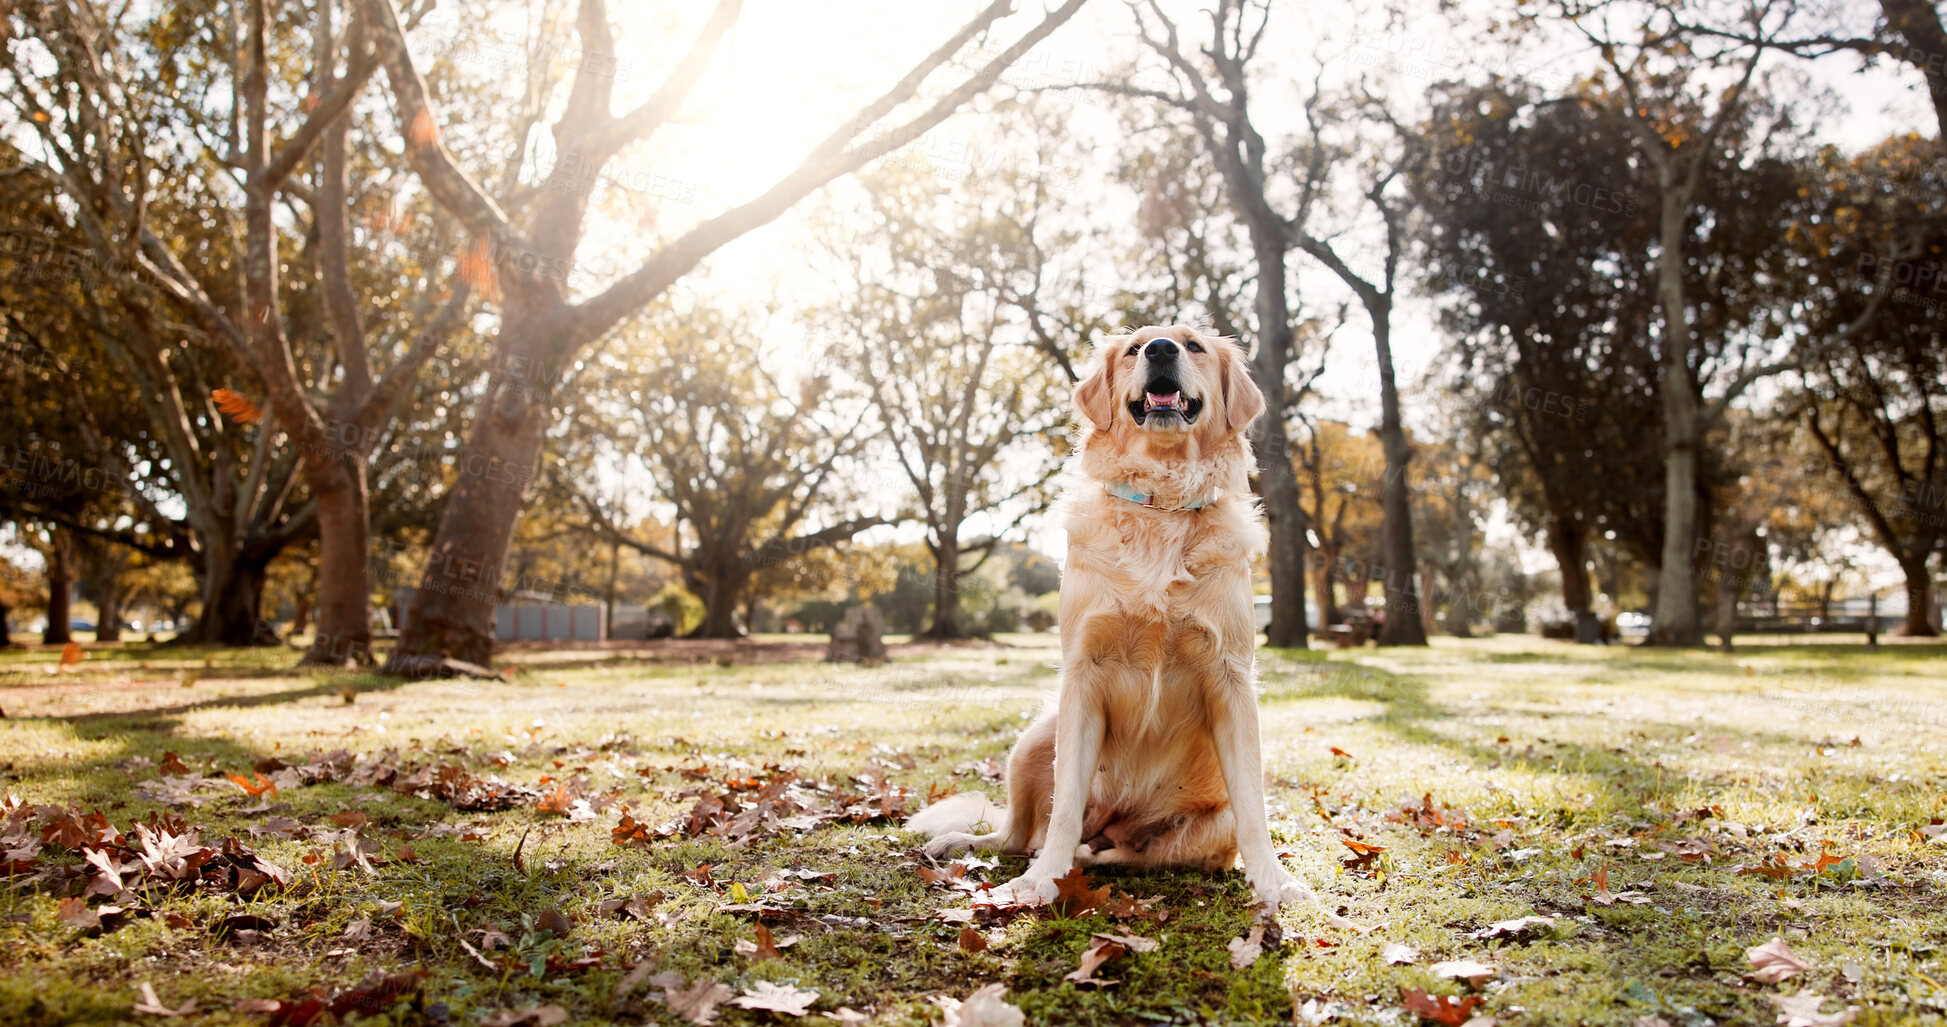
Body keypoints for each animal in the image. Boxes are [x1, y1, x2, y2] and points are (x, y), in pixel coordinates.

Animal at [907, 325, 1308, 912]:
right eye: (1134, 348)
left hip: (1190, 833)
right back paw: (976, 844)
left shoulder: (1232, 678)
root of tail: (1115, 824)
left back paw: (1088, 854)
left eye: (1194, 346)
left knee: (1121, 854)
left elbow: (1256, 810)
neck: (1161, 502)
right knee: (1015, 833)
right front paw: (1037, 884)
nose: (1161, 349)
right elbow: (1065, 807)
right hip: (1034, 738)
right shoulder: (1083, 674)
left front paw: (1274, 882)